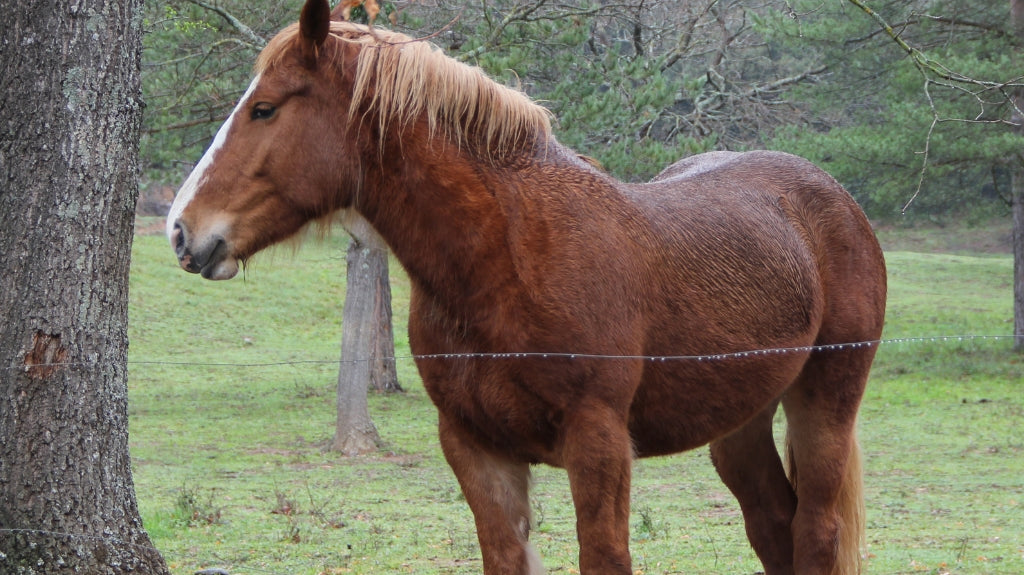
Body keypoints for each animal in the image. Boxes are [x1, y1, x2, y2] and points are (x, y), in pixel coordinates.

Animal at [165, 1, 887, 573]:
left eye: (264, 108)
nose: (182, 230)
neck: (507, 259)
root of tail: (836, 201)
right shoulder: (477, 448)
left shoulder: (598, 442)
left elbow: (606, 557)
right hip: (738, 424)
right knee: (773, 527)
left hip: (825, 403)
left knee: (815, 531)